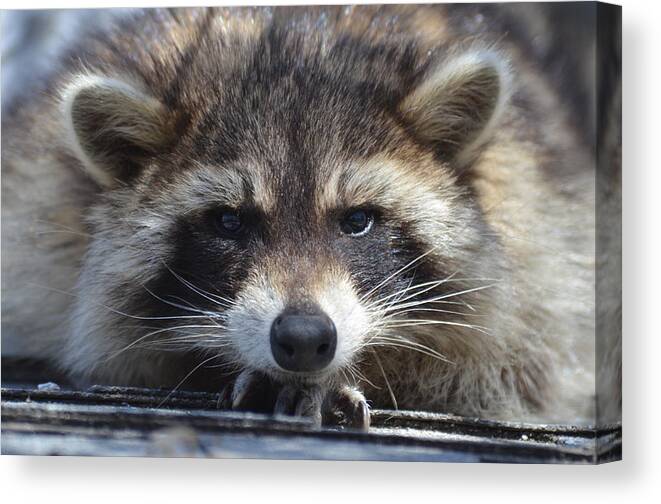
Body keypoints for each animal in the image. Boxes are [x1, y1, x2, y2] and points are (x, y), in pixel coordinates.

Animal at [2, 4, 616, 430]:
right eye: (229, 222)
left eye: (358, 220)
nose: (303, 339)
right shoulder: (38, 226)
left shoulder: (545, 239)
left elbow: (505, 378)